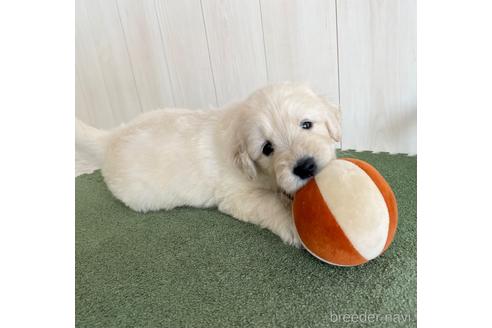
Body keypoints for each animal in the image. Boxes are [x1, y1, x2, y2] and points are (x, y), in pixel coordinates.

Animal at [77, 83, 340, 247]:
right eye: (267, 148)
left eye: (306, 124)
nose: (305, 167)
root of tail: (111, 137)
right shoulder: (237, 195)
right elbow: (271, 203)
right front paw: (293, 224)